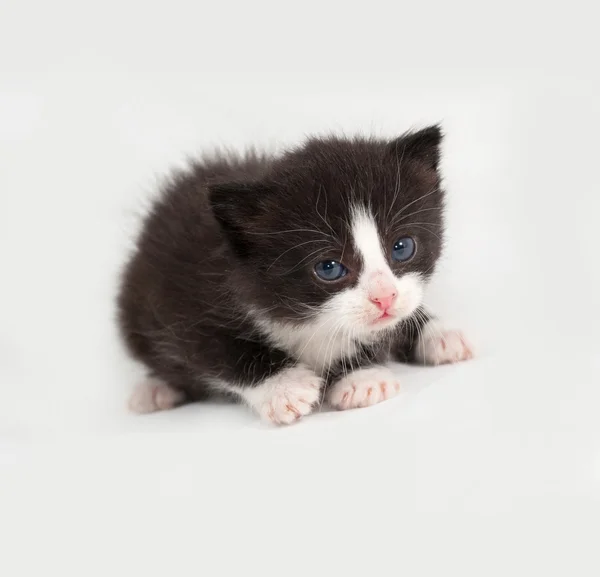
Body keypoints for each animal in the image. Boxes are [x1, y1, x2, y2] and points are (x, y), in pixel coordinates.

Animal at [118, 125, 474, 424]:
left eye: (402, 247)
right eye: (329, 267)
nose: (385, 297)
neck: (307, 320)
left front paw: (362, 376)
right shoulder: (186, 302)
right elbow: (219, 349)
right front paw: (286, 387)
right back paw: (155, 391)